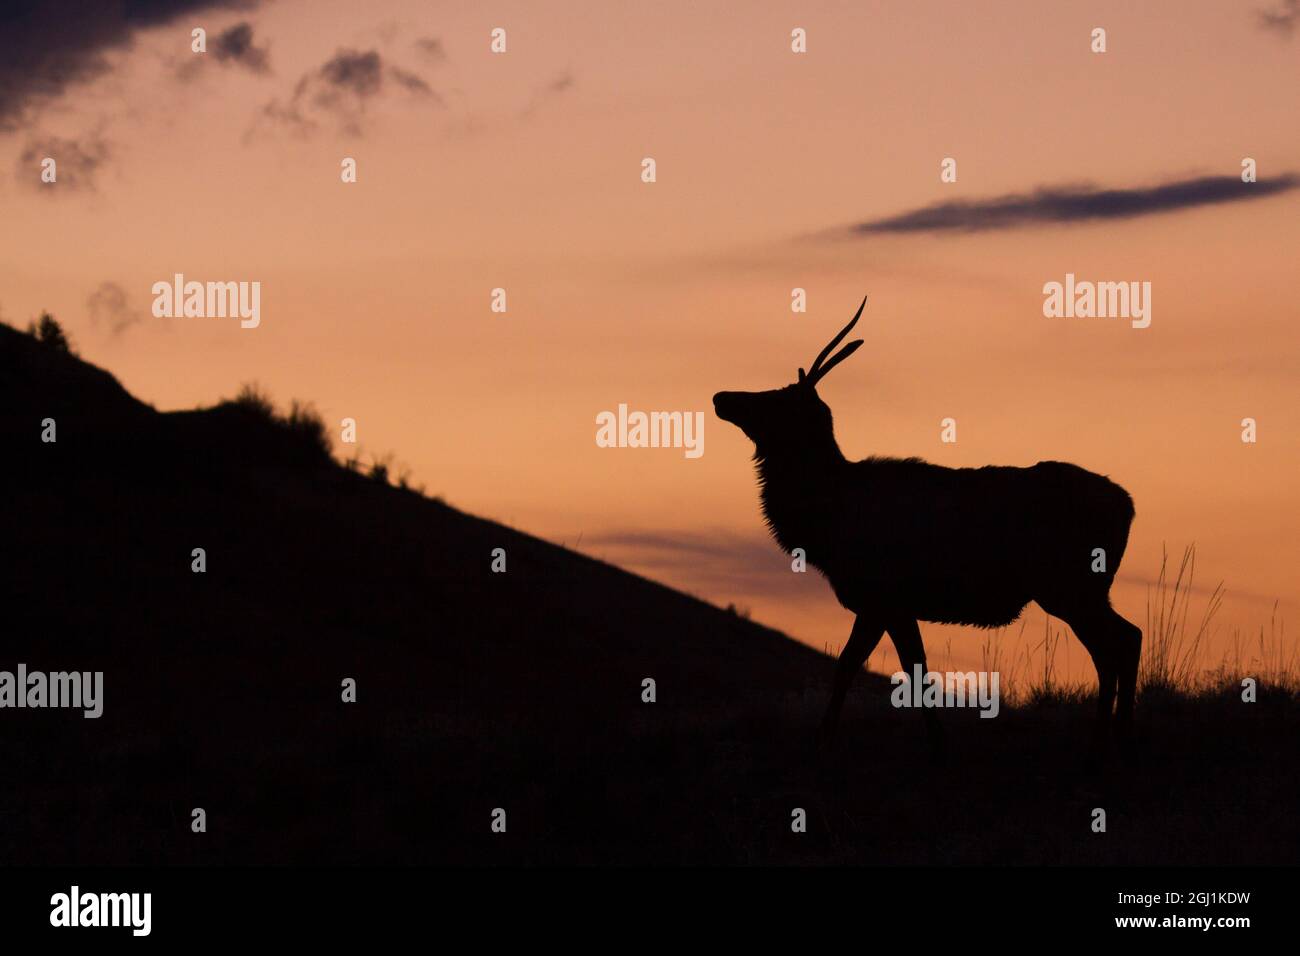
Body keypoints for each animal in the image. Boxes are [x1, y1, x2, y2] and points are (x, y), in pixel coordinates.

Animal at [713, 297, 1142, 762]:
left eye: (779, 398)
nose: (721, 397)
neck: (825, 522)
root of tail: (1129, 506)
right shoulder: (892, 604)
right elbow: (901, 667)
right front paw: (933, 740)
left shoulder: (883, 596)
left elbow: (866, 667)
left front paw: (829, 741)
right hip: (1084, 589)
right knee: (1121, 641)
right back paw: (1112, 737)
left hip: (1070, 586)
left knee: (1122, 641)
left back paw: (1111, 739)